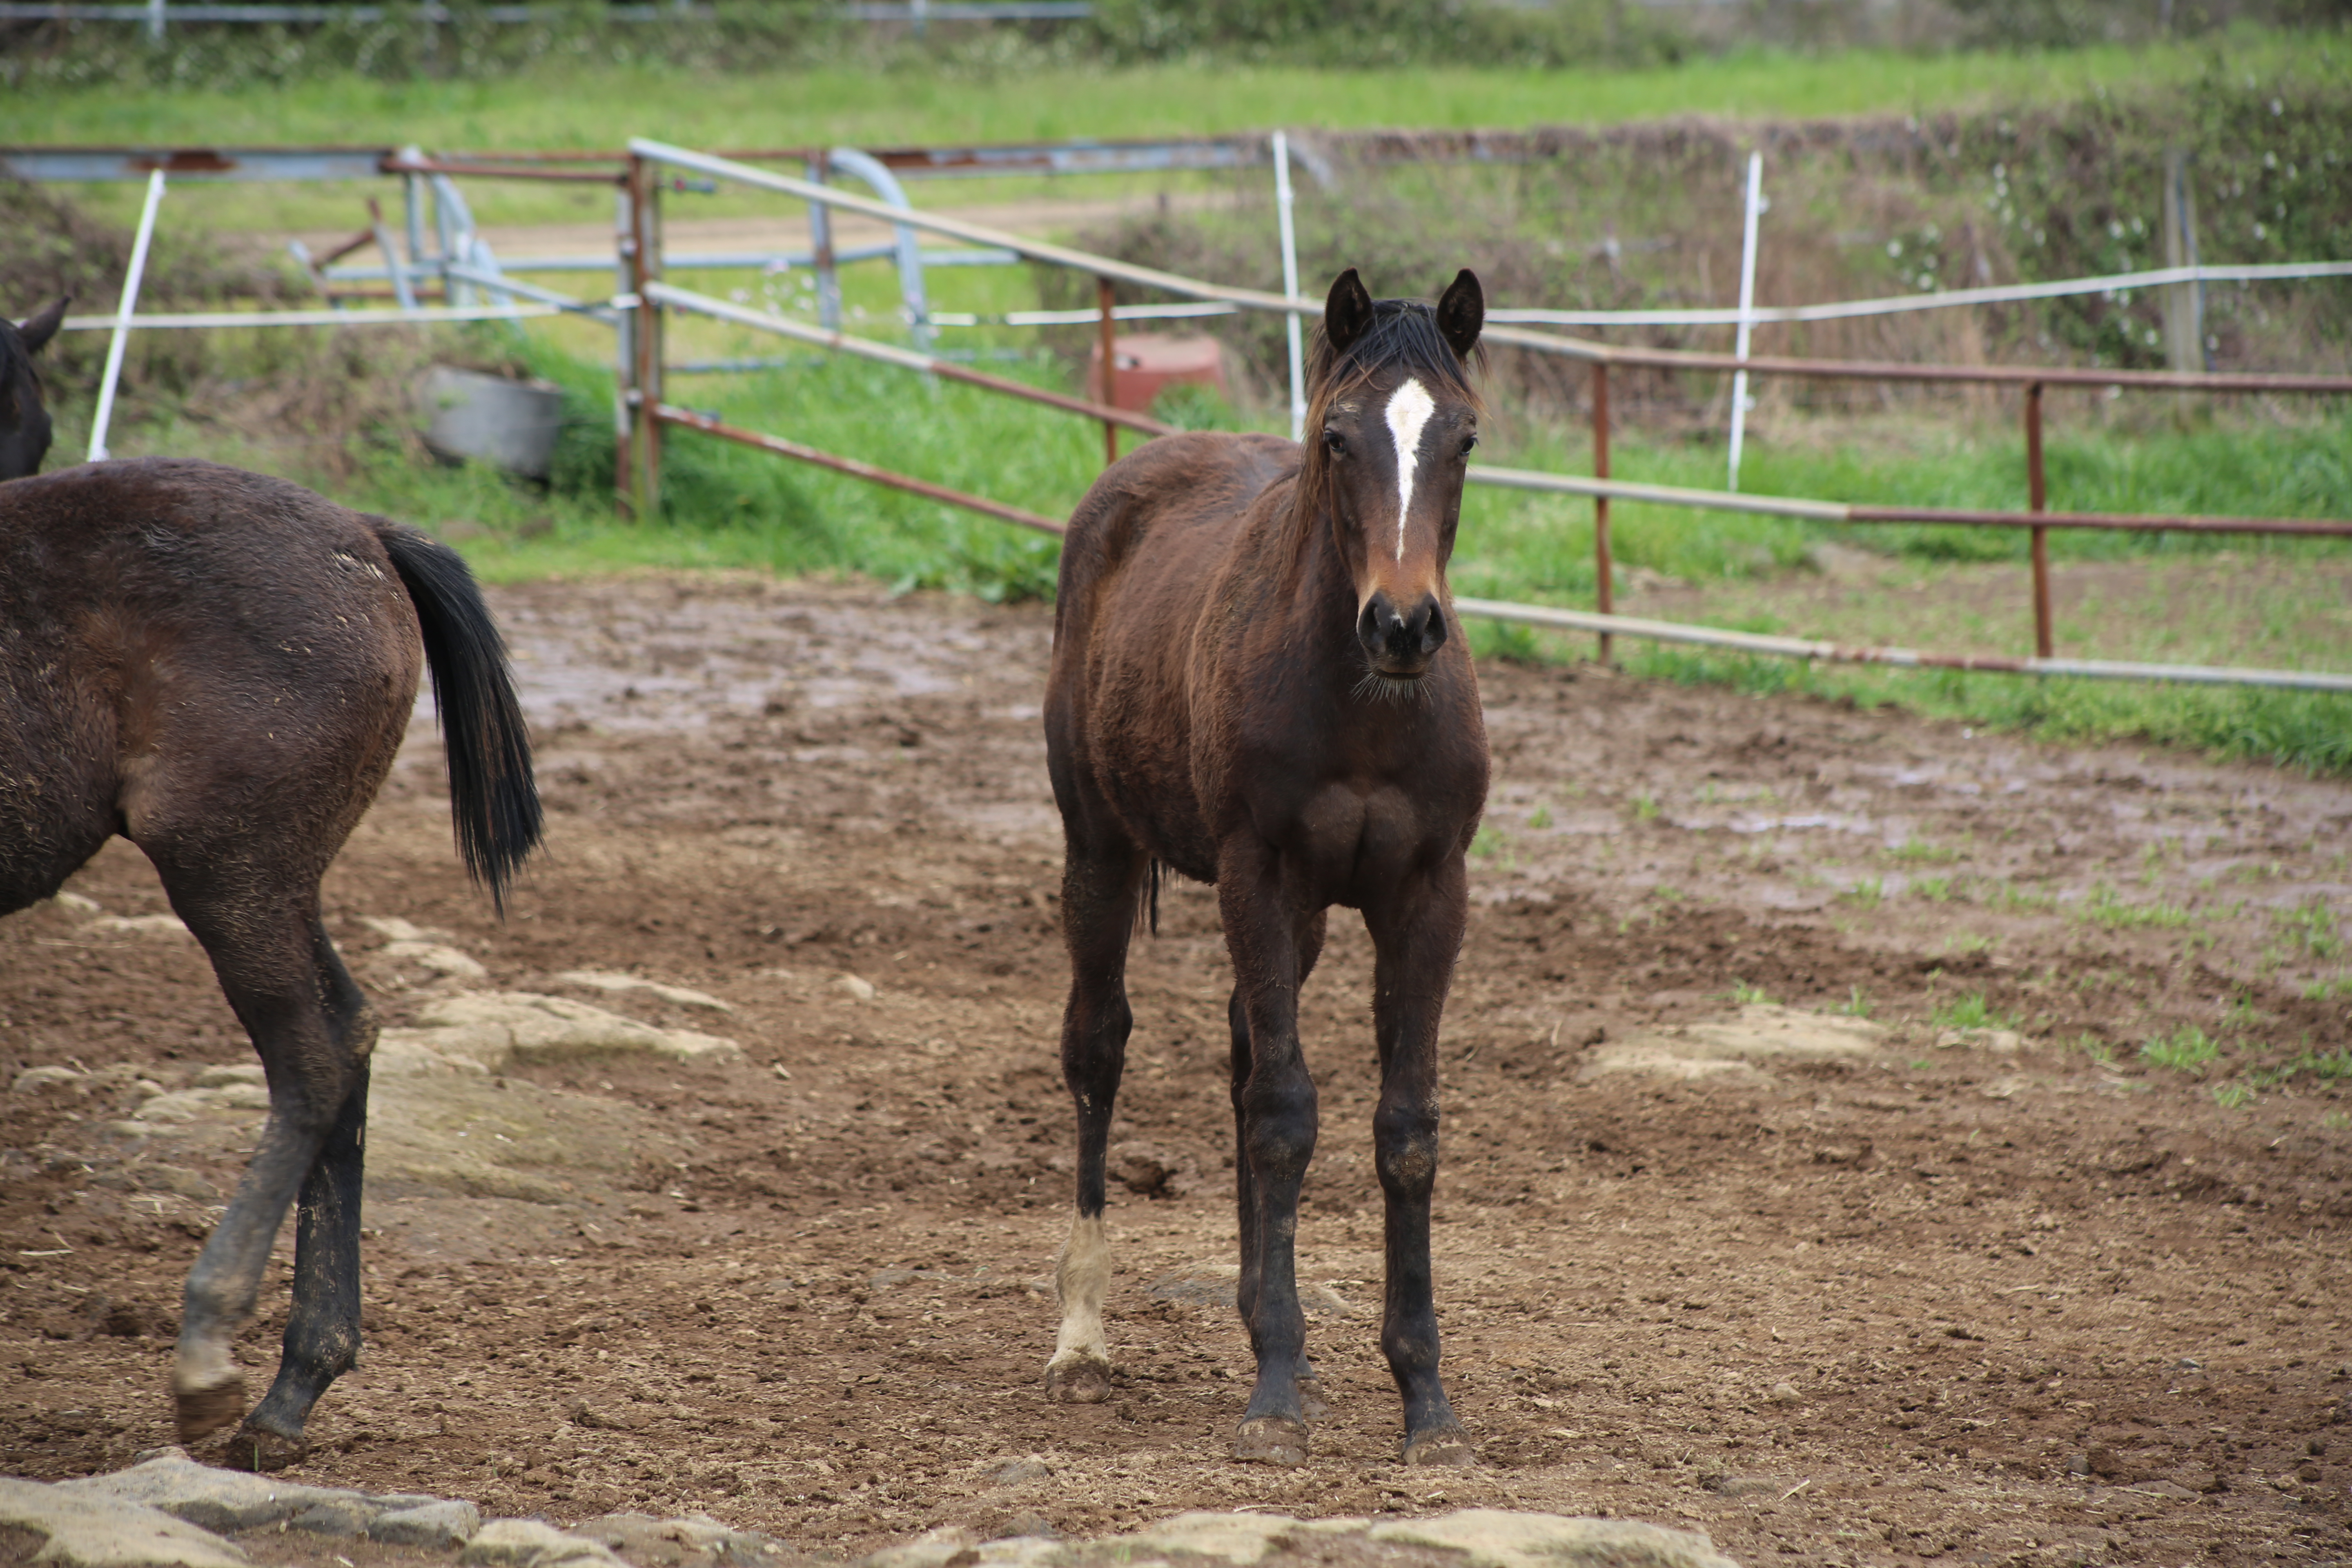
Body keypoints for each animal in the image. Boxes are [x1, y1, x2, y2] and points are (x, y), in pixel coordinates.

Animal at [2, 310, 541, 1476]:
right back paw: (295, 1382)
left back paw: (215, 1354)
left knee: (314, 1054)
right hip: (273, 879)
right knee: (353, 1033)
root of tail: (366, 538)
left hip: (229, 867)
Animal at [1044, 272, 1486, 1476]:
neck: (1362, 705)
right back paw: (1082, 1334)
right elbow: (1286, 1115)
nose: (1403, 624)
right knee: (1098, 1048)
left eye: (1464, 437)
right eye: (1337, 438)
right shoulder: (1259, 874)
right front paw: (1276, 1395)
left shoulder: (1428, 893)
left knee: (1243, 1046)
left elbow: (1405, 1129)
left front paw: (1424, 1402)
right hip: (1098, 848)